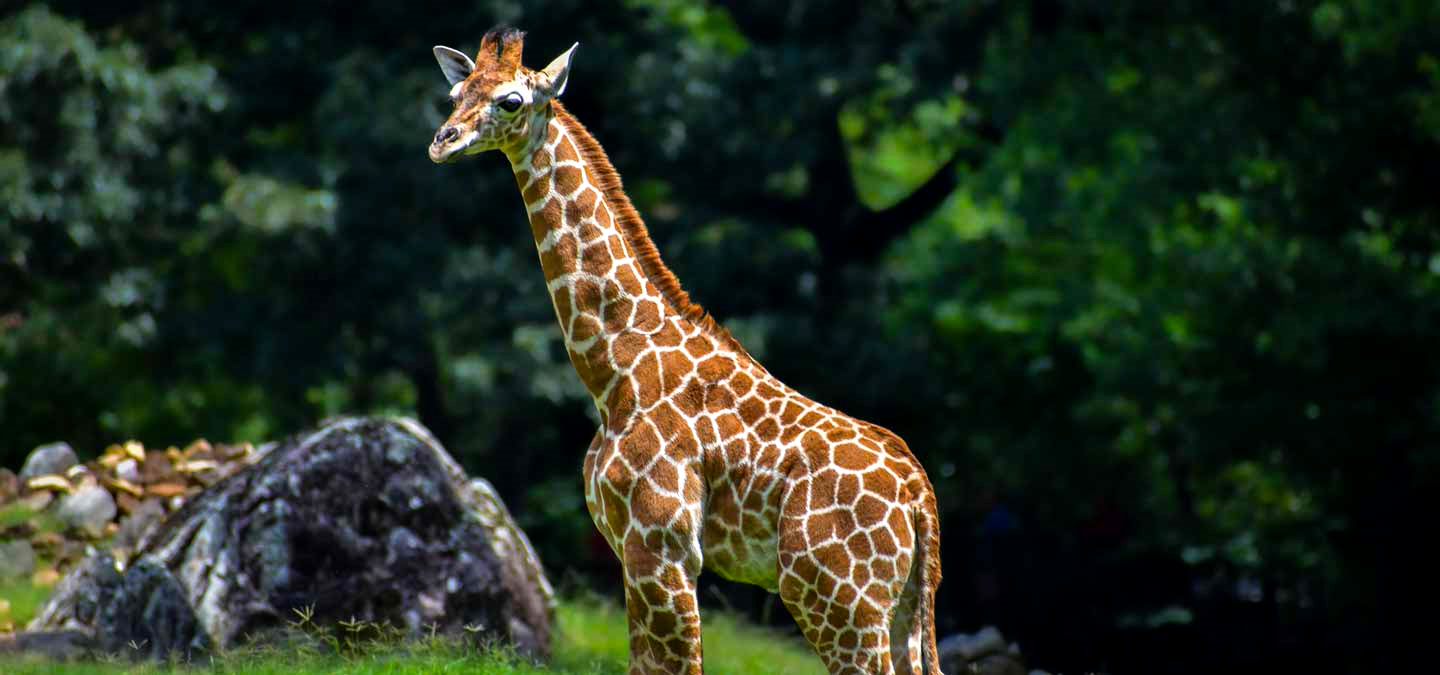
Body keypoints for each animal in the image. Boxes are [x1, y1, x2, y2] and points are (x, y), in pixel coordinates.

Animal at [428, 29, 944, 675]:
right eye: (454, 94)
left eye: (511, 101)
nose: (442, 142)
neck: (614, 368)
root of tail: (919, 497)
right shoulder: (628, 548)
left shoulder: (664, 545)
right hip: (900, 607)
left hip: (836, 596)